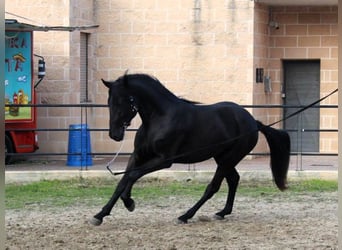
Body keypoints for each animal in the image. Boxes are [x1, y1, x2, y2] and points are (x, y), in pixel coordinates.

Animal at [90, 73, 288, 226]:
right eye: (109, 102)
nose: (114, 135)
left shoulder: (164, 160)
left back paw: (185, 216)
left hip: (228, 159)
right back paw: (222, 212)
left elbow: (132, 176)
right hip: (222, 158)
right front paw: (100, 215)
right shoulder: (138, 156)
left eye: (122, 100)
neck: (159, 118)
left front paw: (129, 202)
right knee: (233, 179)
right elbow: (122, 182)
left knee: (213, 187)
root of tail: (253, 122)